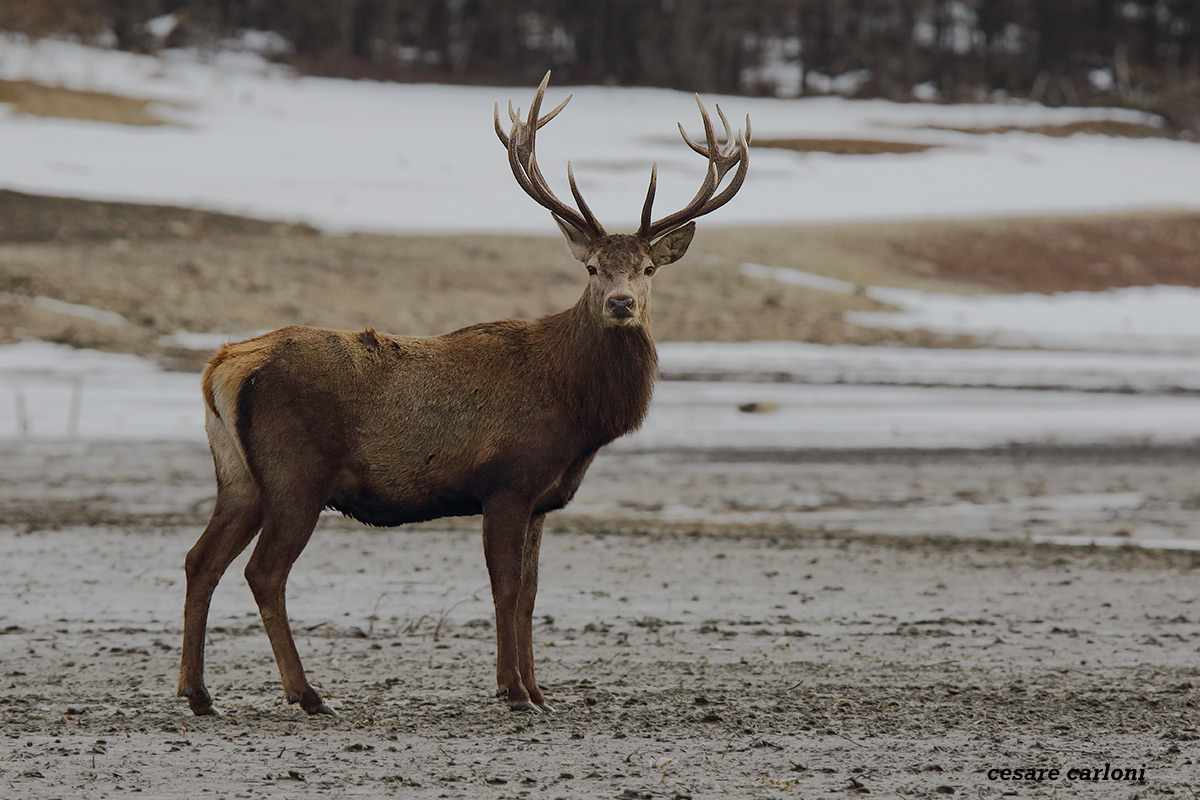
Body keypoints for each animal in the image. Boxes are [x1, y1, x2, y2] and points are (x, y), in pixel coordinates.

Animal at [177, 72, 749, 716]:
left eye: (649, 268)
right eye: (593, 269)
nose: (621, 303)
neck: (578, 414)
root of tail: (223, 366)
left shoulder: (542, 498)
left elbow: (531, 592)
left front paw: (540, 690)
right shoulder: (507, 481)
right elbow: (506, 588)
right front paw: (513, 690)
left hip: (239, 477)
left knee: (200, 560)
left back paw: (199, 693)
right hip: (297, 472)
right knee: (264, 572)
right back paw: (307, 694)